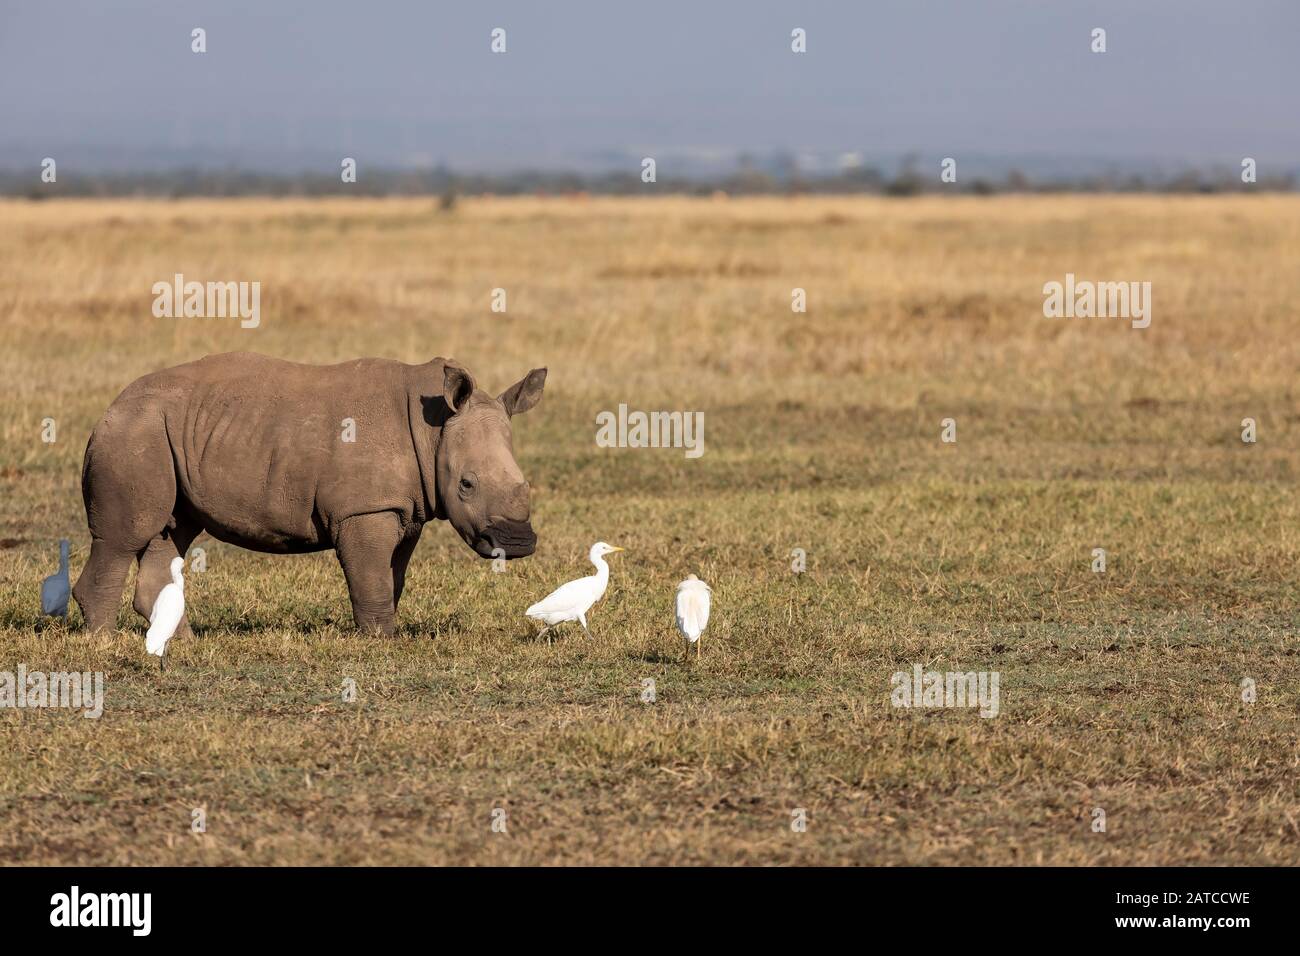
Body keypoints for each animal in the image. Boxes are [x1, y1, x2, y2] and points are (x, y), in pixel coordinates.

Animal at [72, 351, 546, 636]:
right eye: (467, 484)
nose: (518, 544)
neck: (433, 431)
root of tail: (109, 408)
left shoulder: (405, 509)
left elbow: (393, 576)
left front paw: (386, 633)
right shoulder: (364, 510)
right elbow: (371, 578)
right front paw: (380, 641)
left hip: (164, 433)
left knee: (171, 533)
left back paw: (182, 643)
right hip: (137, 431)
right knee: (122, 538)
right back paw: (104, 644)